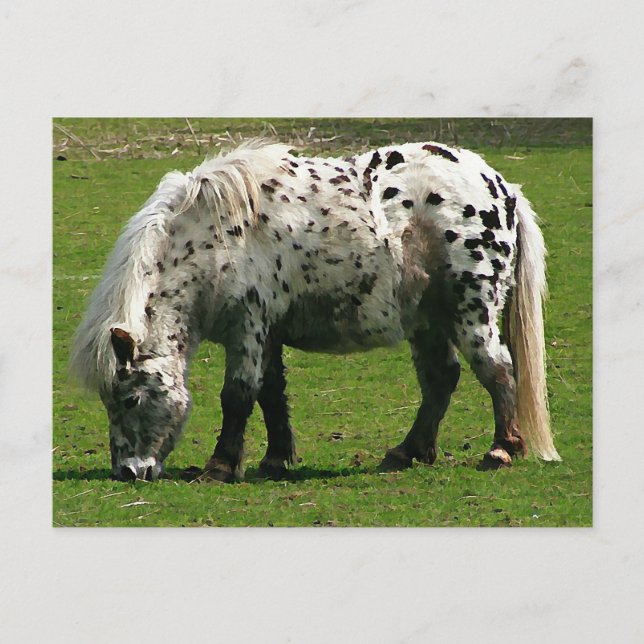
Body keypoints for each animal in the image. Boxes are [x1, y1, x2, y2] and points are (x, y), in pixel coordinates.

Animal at [70, 138, 560, 482]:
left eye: (131, 399)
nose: (129, 472)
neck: (212, 237)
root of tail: (502, 188)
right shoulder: (266, 332)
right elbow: (271, 393)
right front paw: (273, 460)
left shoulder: (248, 327)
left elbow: (238, 395)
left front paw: (221, 466)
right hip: (427, 317)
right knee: (441, 379)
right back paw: (406, 452)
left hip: (471, 309)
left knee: (498, 369)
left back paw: (500, 450)